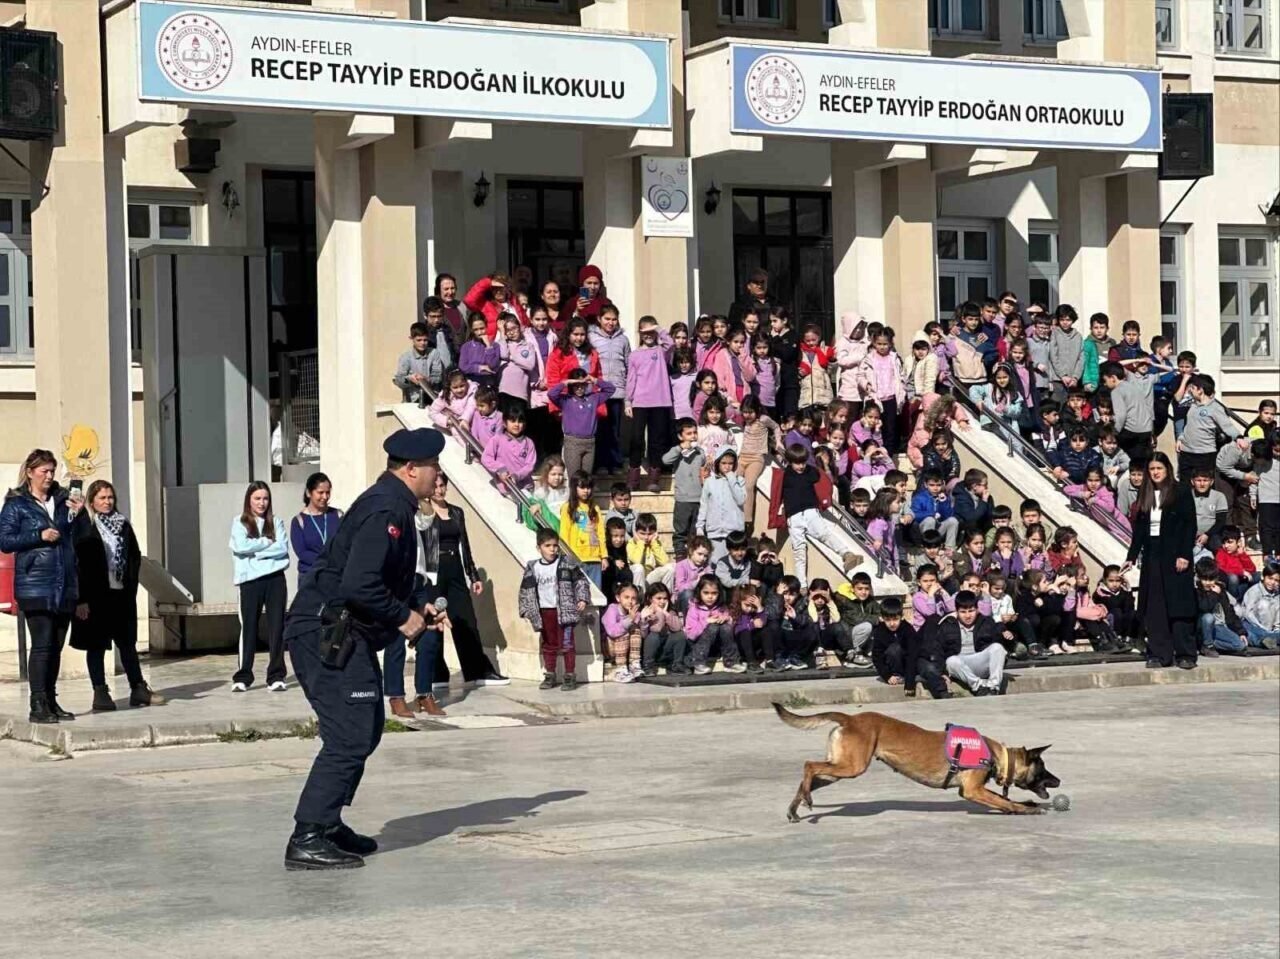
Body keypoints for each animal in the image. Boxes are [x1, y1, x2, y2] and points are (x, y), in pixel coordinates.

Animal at [768, 701, 1059, 819]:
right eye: (1044, 768)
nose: (1058, 781)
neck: (997, 755)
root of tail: (850, 719)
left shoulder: (976, 789)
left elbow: (1004, 798)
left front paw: (1026, 803)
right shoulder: (973, 791)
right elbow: (1004, 801)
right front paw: (1027, 809)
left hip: (837, 769)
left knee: (809, 776)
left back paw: (796, 807)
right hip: (851, 767)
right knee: (808, 765)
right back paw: (805, 801)